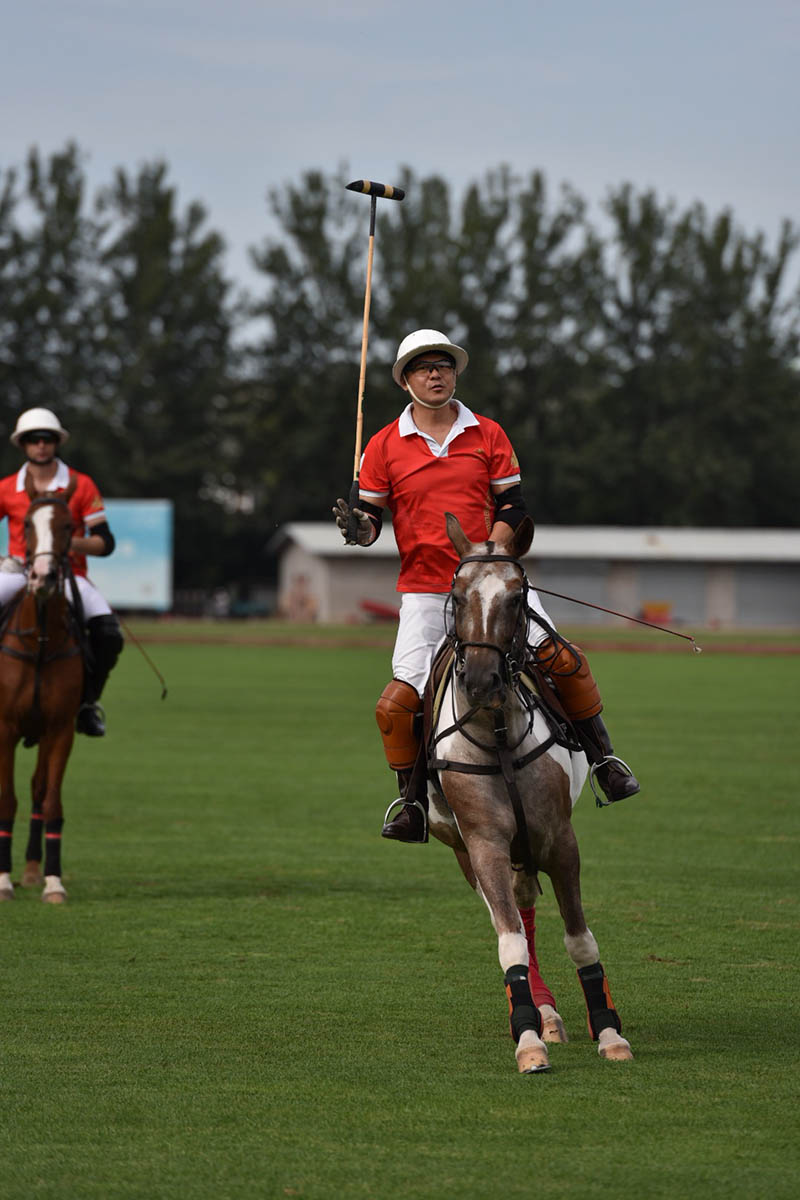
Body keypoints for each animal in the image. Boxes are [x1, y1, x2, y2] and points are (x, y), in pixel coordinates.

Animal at [422, 511, 633, 1075]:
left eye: (518, 597)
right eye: (457, 594)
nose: (480, 681)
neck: (497, 732)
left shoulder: (559, 838)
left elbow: (580, 939)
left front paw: (609, 1031)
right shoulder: (485, 845)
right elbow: (510, 942)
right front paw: (528, 1040)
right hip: (466, 853)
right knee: (515, 917)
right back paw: (541, 1014)